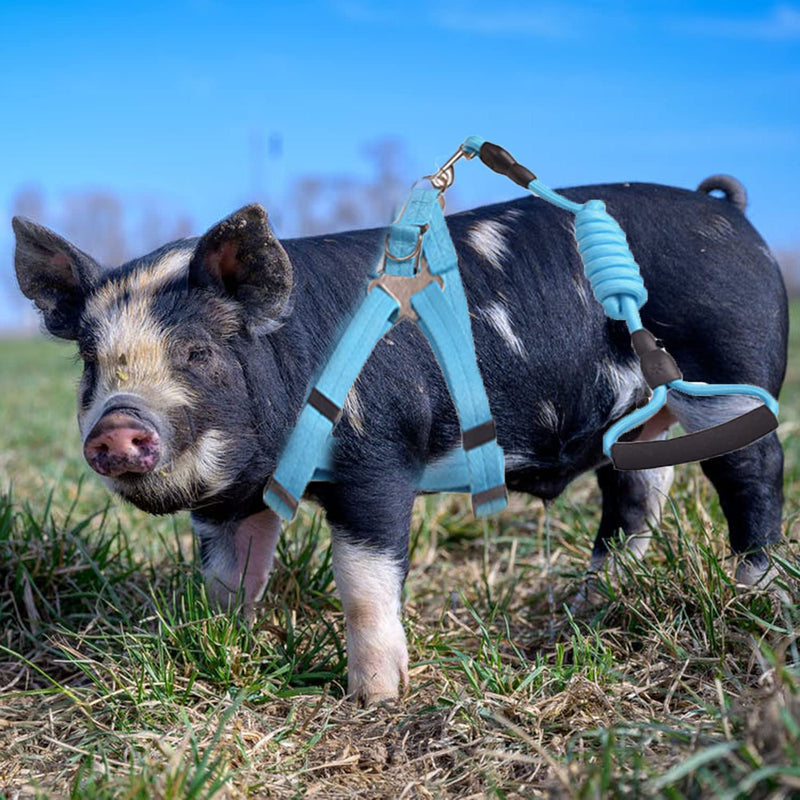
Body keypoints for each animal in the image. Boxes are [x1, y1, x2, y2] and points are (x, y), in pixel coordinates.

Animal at [13, 177, 788, 704]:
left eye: (198, 352)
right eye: (90, 362)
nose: (117, 426)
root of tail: (730, 212)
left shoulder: (379, 457)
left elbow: (363, 580)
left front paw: (375, 697)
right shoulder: (228, 502)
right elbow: (227, 578)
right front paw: (226, 642)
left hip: (730, 371)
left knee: (753, 474)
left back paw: (752, 596)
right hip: (636, 414)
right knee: (637, 494)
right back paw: (585, 608)